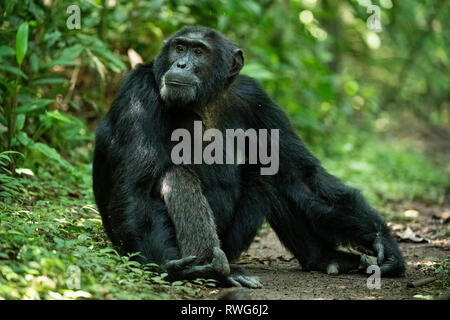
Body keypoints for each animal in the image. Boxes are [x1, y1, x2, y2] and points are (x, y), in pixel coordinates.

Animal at [93, 26, 406, 288]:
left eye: (198, 52)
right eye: (179, 48)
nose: (180, 64)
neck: (206, 101)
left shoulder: (256, 97)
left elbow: (301, 173)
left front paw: (383, 243)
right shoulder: (139, 95)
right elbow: (137, 190)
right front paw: (171, 268)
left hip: (233, 239)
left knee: (272, 173)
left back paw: (325, 259)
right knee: (175, 176)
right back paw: (213, 269)